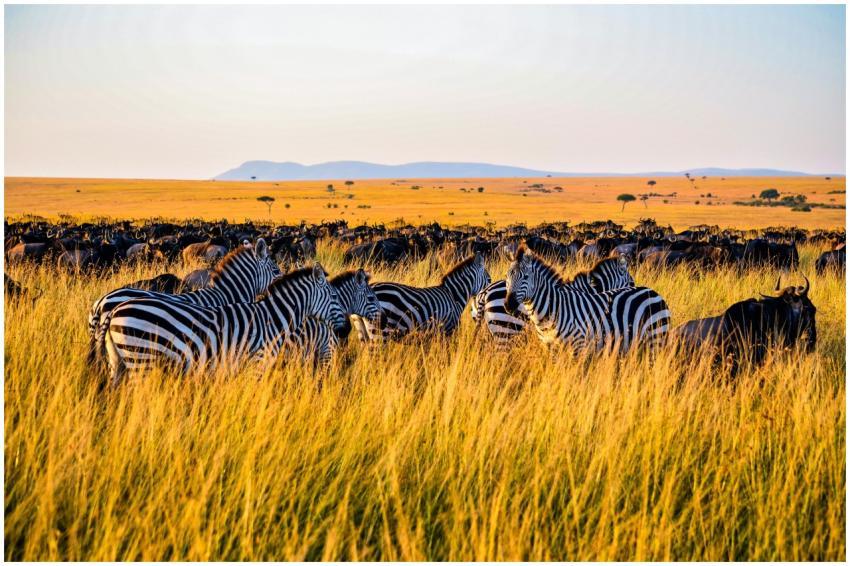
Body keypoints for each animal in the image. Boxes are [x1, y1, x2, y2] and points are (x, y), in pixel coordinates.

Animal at [104, 264, 345, 385]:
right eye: (334, 296)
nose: (345, 331)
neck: (273, 319)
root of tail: (115, 310)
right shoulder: (257, 363)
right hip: (141, 358)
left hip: (119, 361)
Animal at [352, 253, 490, 341]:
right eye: (489, 279)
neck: (453, 295)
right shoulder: (448, 328)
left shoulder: (436, 331)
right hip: (380, 330)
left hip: (363, 331)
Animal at [504, 248, 670, 352]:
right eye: (507, 277)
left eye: (526, 277)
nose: (508, 305)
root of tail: (654, 292)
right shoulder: (550, 347)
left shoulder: (580, 345)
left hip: (655, 338)